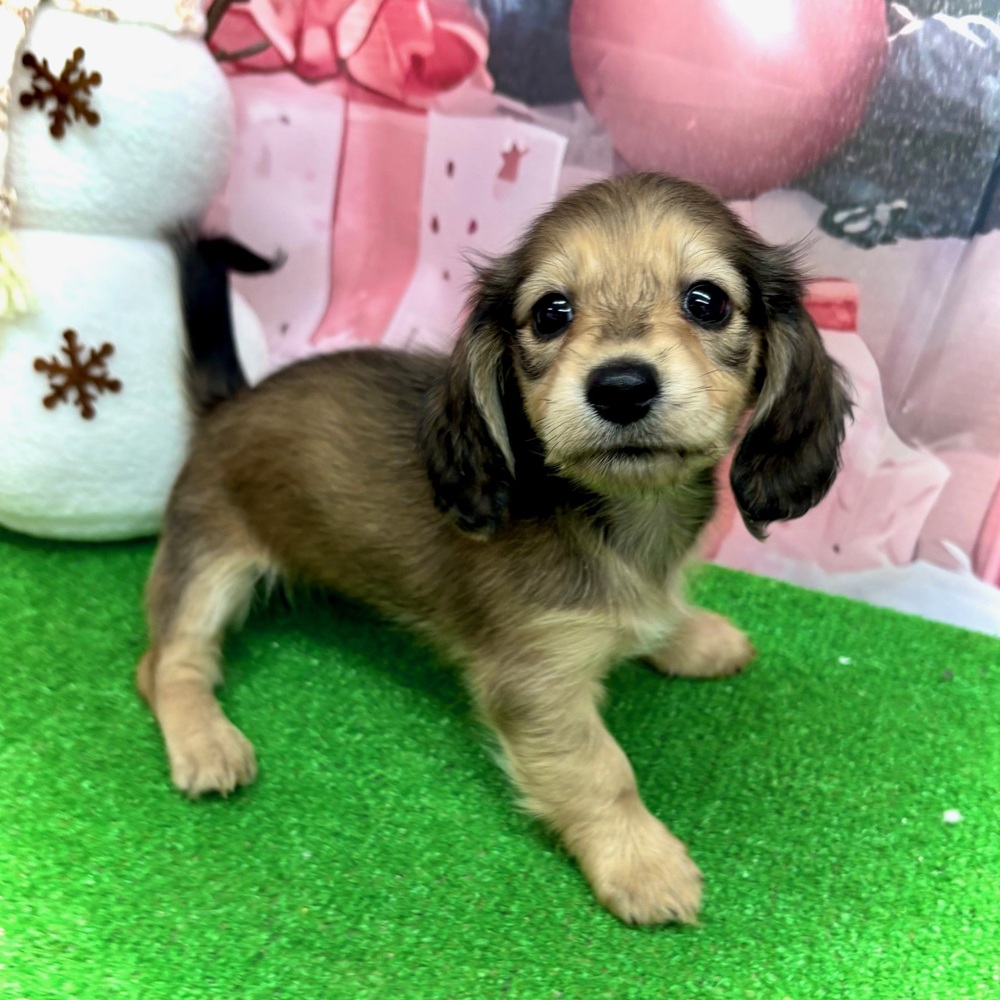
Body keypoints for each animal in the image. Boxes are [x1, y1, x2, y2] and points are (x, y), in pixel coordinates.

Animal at [137, 173, 852, 926]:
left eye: (707, 302)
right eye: (551, 313)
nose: (620, 387)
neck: (622, 520)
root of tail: (227, 405)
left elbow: (657, 616)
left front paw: (688, 636)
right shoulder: (533, 677)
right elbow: (600, 771)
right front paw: (641, 862)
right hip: (208, 562)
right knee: (167, 664)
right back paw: (205, 741)